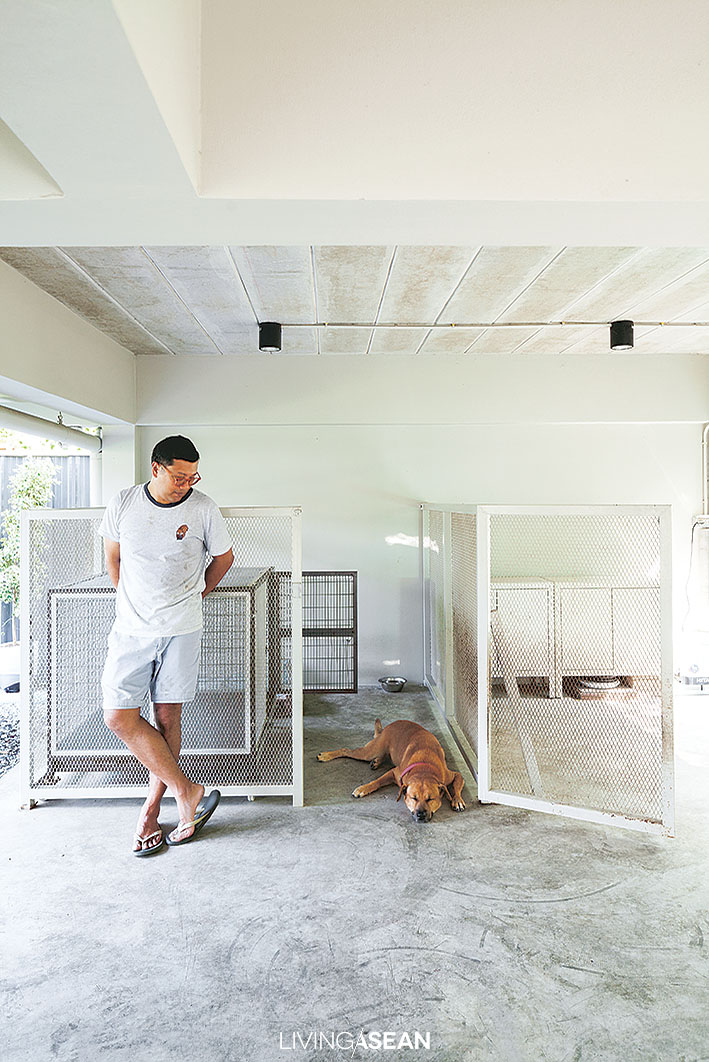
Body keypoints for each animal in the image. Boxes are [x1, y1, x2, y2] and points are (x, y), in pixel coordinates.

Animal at [316, 717, 464, 824]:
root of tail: (388, 726)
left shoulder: (454, 775)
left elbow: (457, 785)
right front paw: (363, 788)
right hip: (371, 750)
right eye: (414, 798)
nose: (420, 814)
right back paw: (326, 756)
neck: (424, 769)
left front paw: (457, 800)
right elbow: (376, 781)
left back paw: (376, 761)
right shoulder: (394, 772)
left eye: (430, 799)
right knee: (346, 750)